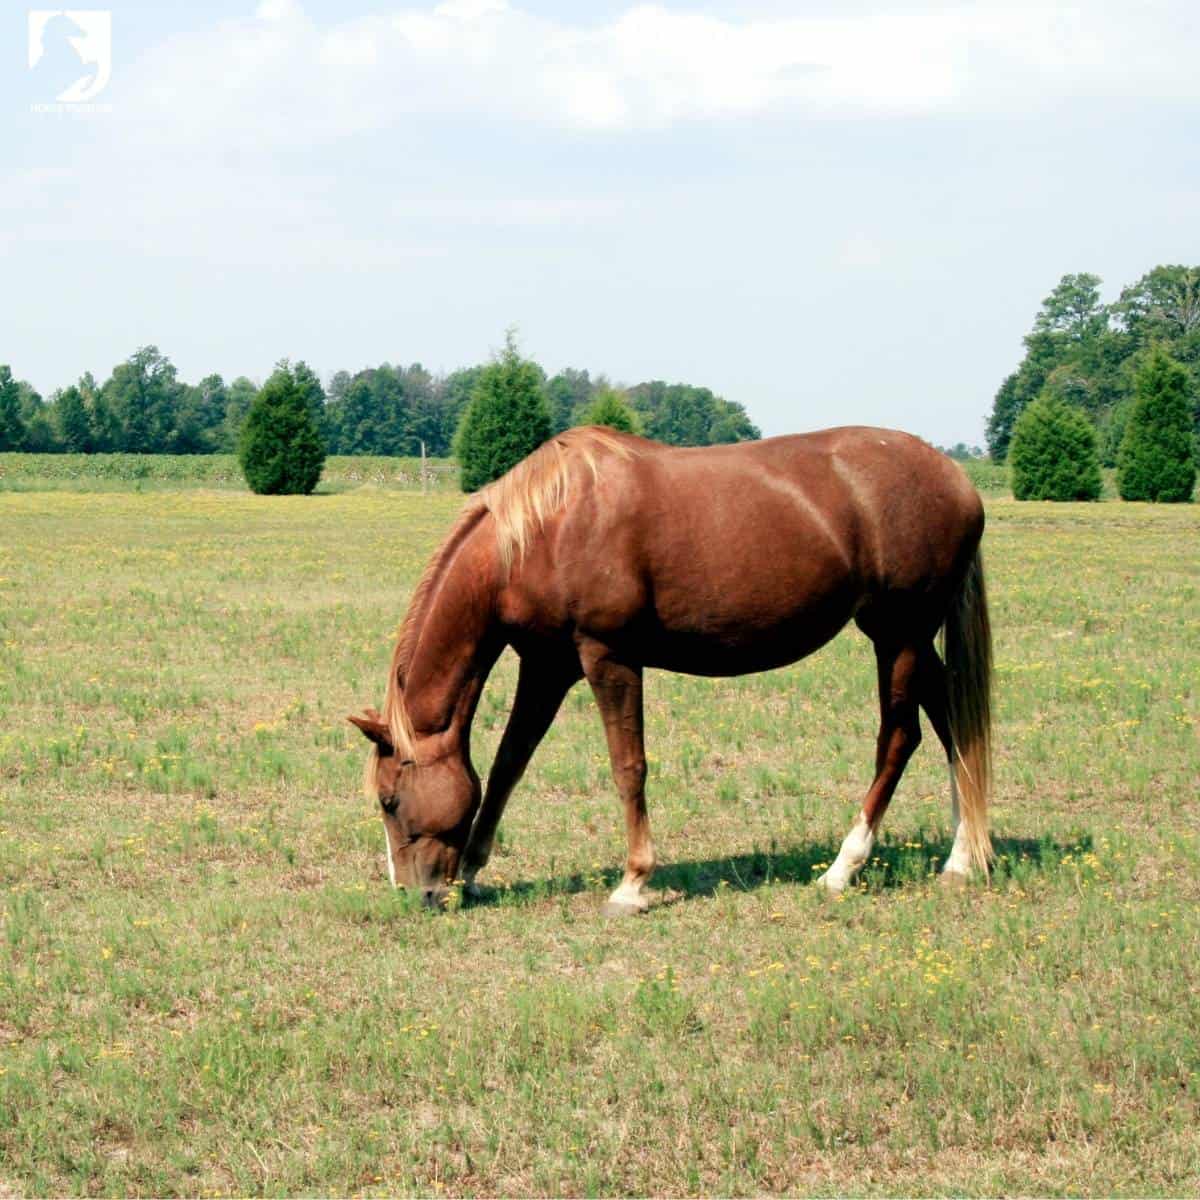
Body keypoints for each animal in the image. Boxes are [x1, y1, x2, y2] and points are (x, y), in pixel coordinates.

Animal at [349, 425, 993, 914]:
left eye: (389, 800)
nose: (416, 894)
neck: (548, 529)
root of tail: (960, 482)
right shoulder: (548, 664)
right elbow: (509, 765)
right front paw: (476, 871)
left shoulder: (608, 656)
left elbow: (627, 767)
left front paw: (633, 884)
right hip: (912, 639)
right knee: (953, 725)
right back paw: (963, 856)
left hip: (898, 636)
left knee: (900, 738)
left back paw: (843, 866)